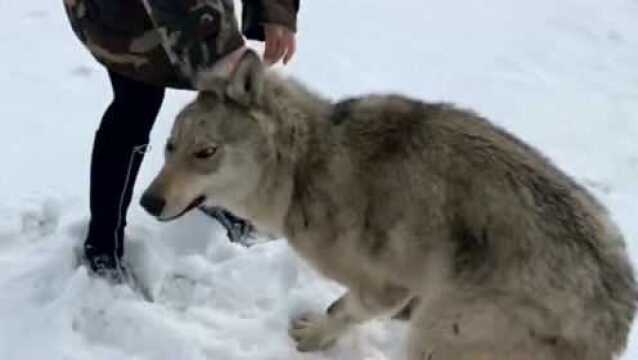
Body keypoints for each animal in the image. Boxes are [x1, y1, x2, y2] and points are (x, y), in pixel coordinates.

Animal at [142, 50, 636, 360]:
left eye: (206, 153)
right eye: (169, 147)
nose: (147, 202)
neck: (305, 167)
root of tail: (618, 315)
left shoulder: (389, 285)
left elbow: (341, 309)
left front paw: (312, 339)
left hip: (437, 333)